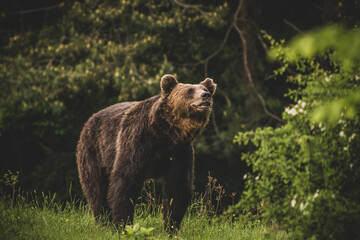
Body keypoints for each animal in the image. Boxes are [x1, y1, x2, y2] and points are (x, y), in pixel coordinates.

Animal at [75, 74, 215, 230]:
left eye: (205, 88)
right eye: (190, 90)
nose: (206, 95)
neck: (165, 134)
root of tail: (90, 119)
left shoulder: (179, 151)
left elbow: (177, 188)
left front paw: (171, 226)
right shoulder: (137, 142)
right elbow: (125, 182)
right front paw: (122, 225)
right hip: (93, 152)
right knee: (96, 189)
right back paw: (103, 221)